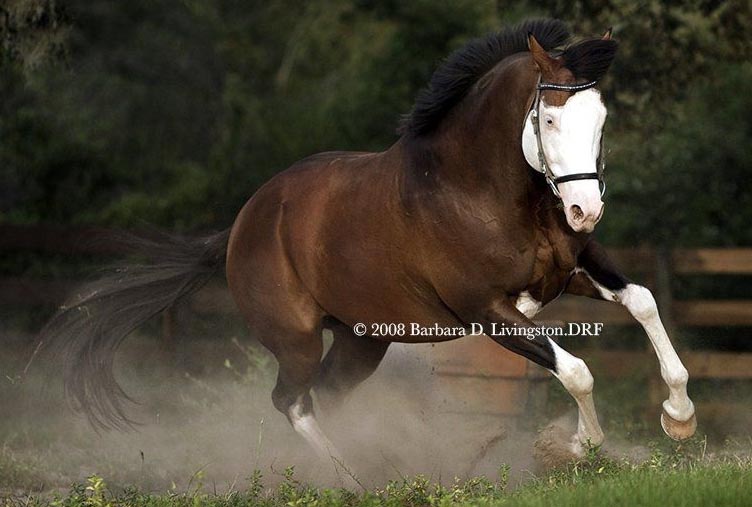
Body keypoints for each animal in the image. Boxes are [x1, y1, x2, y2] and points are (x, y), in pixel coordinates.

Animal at [39, 19, 700, 468]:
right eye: (551, 119)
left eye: (601, 120)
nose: (585, 210)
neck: (478, 190)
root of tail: (243, 225)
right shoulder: (488, 311)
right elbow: (578, 371)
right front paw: (577, 445)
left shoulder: (572, 270)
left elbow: (643, 301)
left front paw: (679, 420)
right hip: (297, 341)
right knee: (292, 401)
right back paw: (351, 478)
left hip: (363, 340)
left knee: (325, 397)